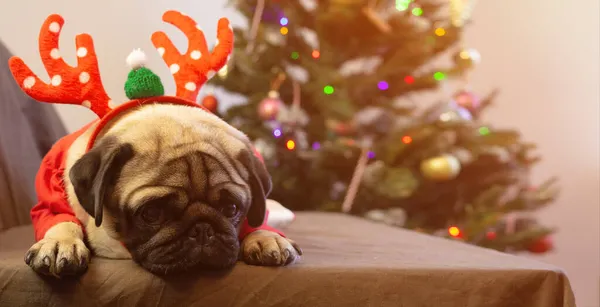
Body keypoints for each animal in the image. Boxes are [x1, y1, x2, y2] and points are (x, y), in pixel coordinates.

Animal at [21, 104, 302, 280]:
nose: (202, 229)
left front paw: (265, 237)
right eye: (151, 213)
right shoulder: (53, 196)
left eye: (231, 208)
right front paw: (59, 243)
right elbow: (61, 220)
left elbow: (258, 218)